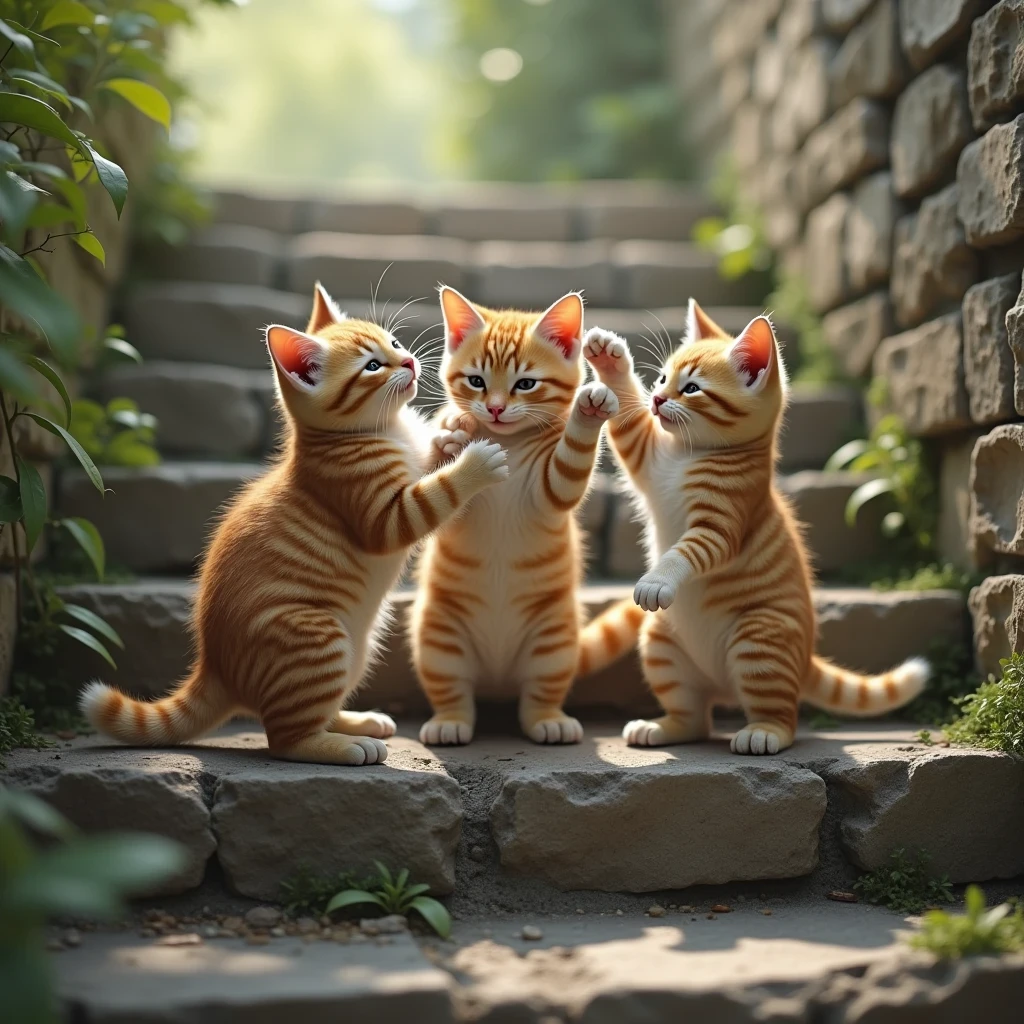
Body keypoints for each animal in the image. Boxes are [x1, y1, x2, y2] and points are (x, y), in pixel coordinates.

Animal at [81, 284, 505, 765]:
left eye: (395, 343)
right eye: (372, 366)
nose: (410, 362)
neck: (381, 430)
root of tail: (215, 668)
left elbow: (427, 461)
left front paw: (450, 434)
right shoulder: (380, 512)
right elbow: (432, 495)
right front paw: (474, 462)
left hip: (357, 646)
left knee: (316, 710)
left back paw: (354, 722)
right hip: (315, 637)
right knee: (285, 739)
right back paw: (345, 745)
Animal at [409, 288, 634, 745]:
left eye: (525, 384)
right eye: (476, 381)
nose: (495, 409)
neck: (507, 442)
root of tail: (498, 682)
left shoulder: (552, 488)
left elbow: (568, 466)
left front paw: (589, 409)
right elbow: (435, 488)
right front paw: (449, 438)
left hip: (554, 640)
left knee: (538, 695)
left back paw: (549, 720)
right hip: (438, 637)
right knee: (453, 692)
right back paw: (449, 722)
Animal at [585, 299, 929, 757]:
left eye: (691, 389)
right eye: (660, 379)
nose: (656, 399)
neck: (686, 454)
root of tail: (804, 660)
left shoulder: (722, 525)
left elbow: (685, 550)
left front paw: (658, 579)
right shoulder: (645, 454)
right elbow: (626, 419)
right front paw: (609, 358)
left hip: (759, 639)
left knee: (783, 715)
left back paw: (765, 732)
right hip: (662, 643)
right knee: (696, 719)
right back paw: (665, 727)